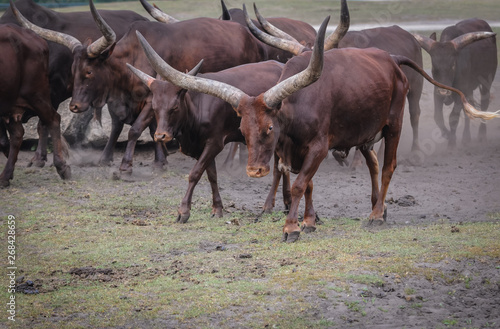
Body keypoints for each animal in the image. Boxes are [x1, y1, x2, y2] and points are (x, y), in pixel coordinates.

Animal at [412, 18, 498, 146]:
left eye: (453, 65)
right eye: (434, 67)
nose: (444, 92)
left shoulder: (460, 92)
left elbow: (453, 117)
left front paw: (451, 143)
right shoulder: (437, 92)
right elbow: (438, 117)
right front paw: (447, 135)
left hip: (487, 80)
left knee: (484, 104)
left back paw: (482, 135)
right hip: (469, 89)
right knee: (469, 108)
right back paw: (466, 137)